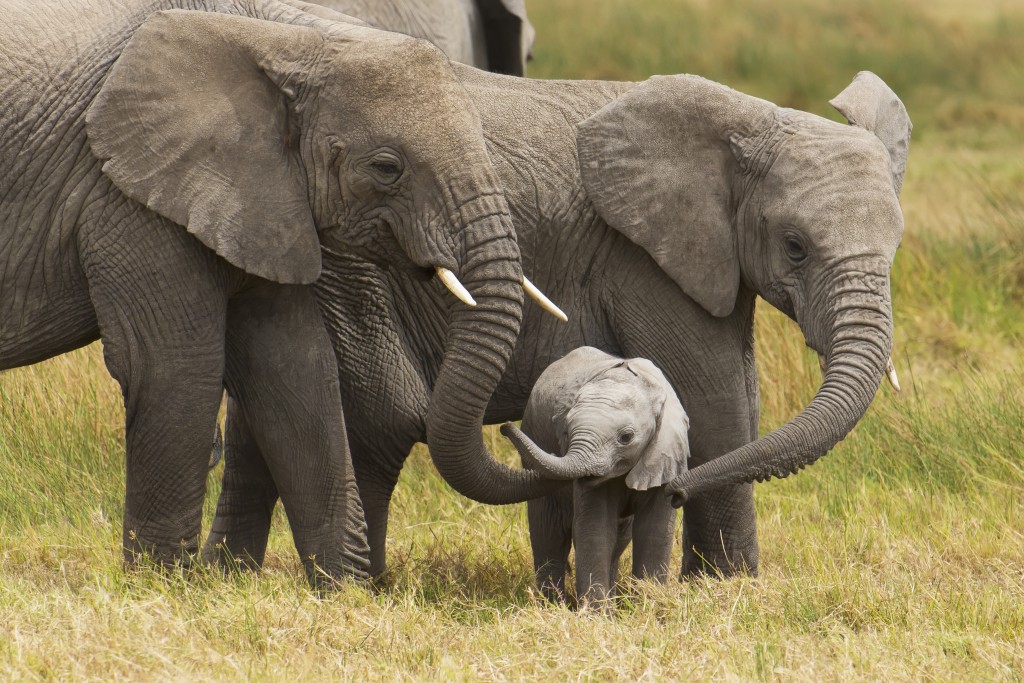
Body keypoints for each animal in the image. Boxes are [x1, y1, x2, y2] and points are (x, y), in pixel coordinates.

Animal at [0, 0, 567, 587]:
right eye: (387, 168)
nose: (516, 430)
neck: (285, 36)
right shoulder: (129, 191)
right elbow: (172, 366)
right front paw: (160, 586)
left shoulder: (262, 197)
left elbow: (295, 370)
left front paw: (347, 591)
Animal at [210, 68, 910, 580]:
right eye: (795, 247)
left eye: (898, 246)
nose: (676, 494)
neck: (749, 117)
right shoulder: (640, 259)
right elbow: (717, 403)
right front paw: (728, 586)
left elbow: (741, 392)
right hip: (351, 273)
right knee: (376, 423)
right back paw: (364, 588)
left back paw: (233, 577)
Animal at [499, 347, 690, 606]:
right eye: (566, 432)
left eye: (626, 437)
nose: (504, 427)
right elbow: (595, 530)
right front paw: (596, 613)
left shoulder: (664, 453)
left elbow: (654, 531)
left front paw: (648, 605)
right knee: (548, 535)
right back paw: (552, 604)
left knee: (618, 539)